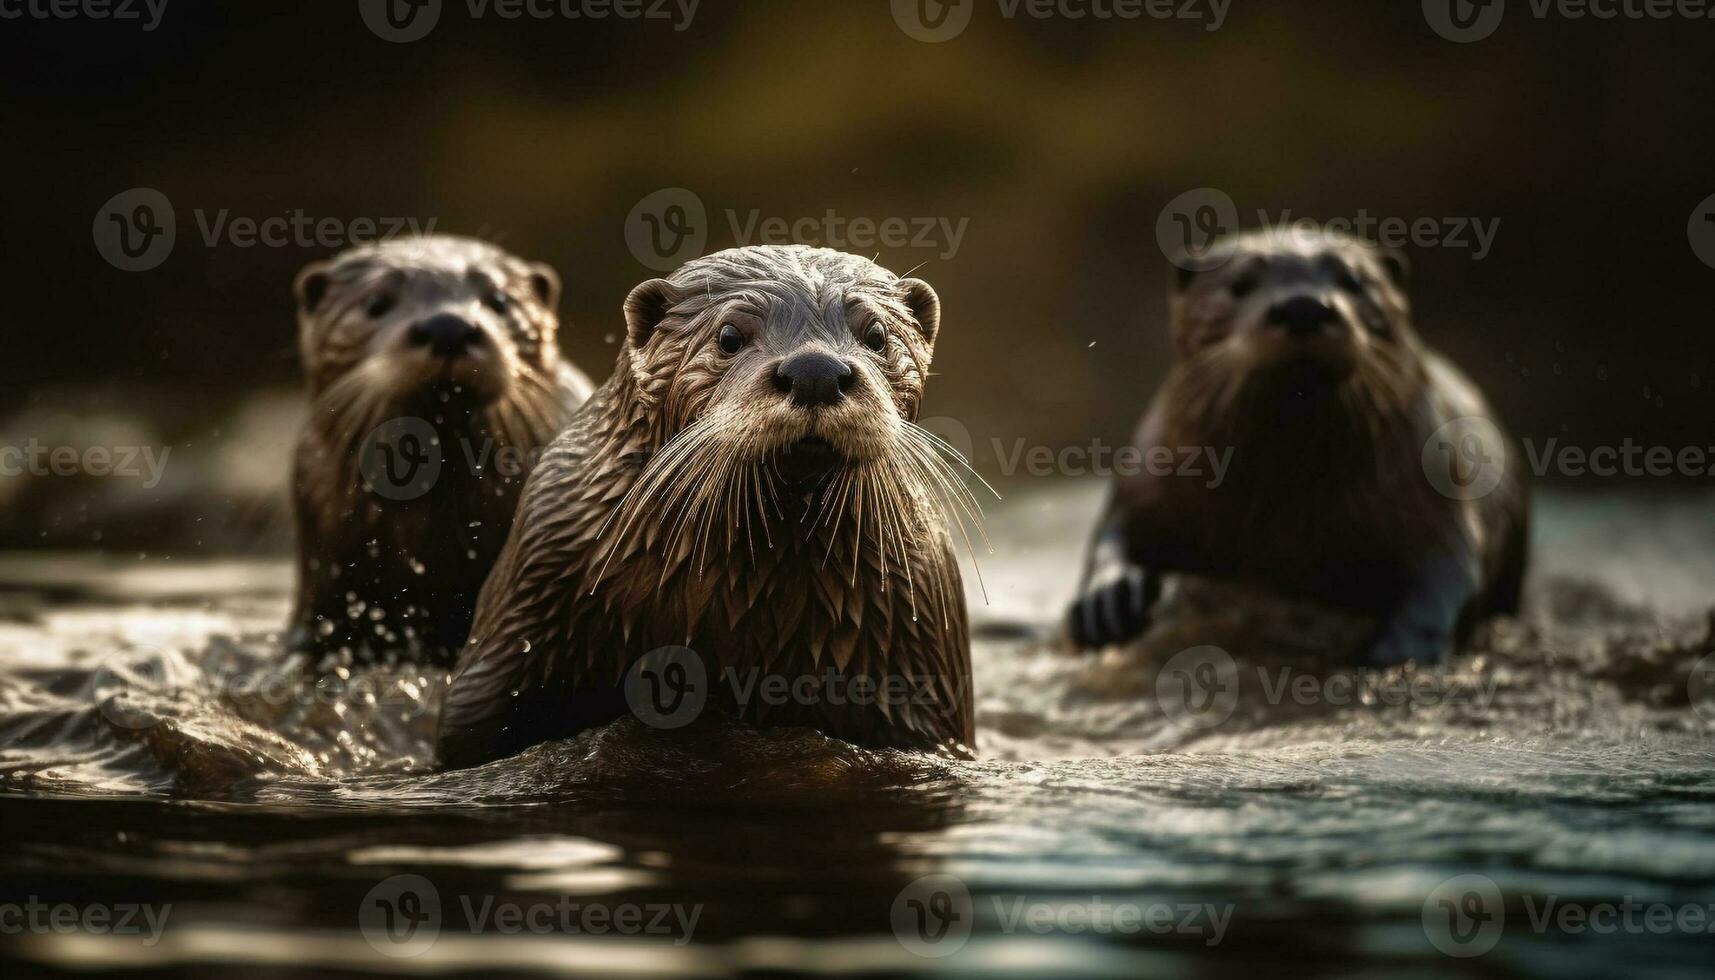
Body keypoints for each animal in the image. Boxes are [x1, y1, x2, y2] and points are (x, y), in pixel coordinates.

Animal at [1070, 228, 1529, 665]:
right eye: (1240, 284)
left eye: (1353, 281)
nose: (1303, 306)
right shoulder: (1153, 468)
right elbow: (1114, 531)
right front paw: (1107, 599)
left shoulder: (1432, 479)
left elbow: (1450, 568)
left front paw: (1401, 652)